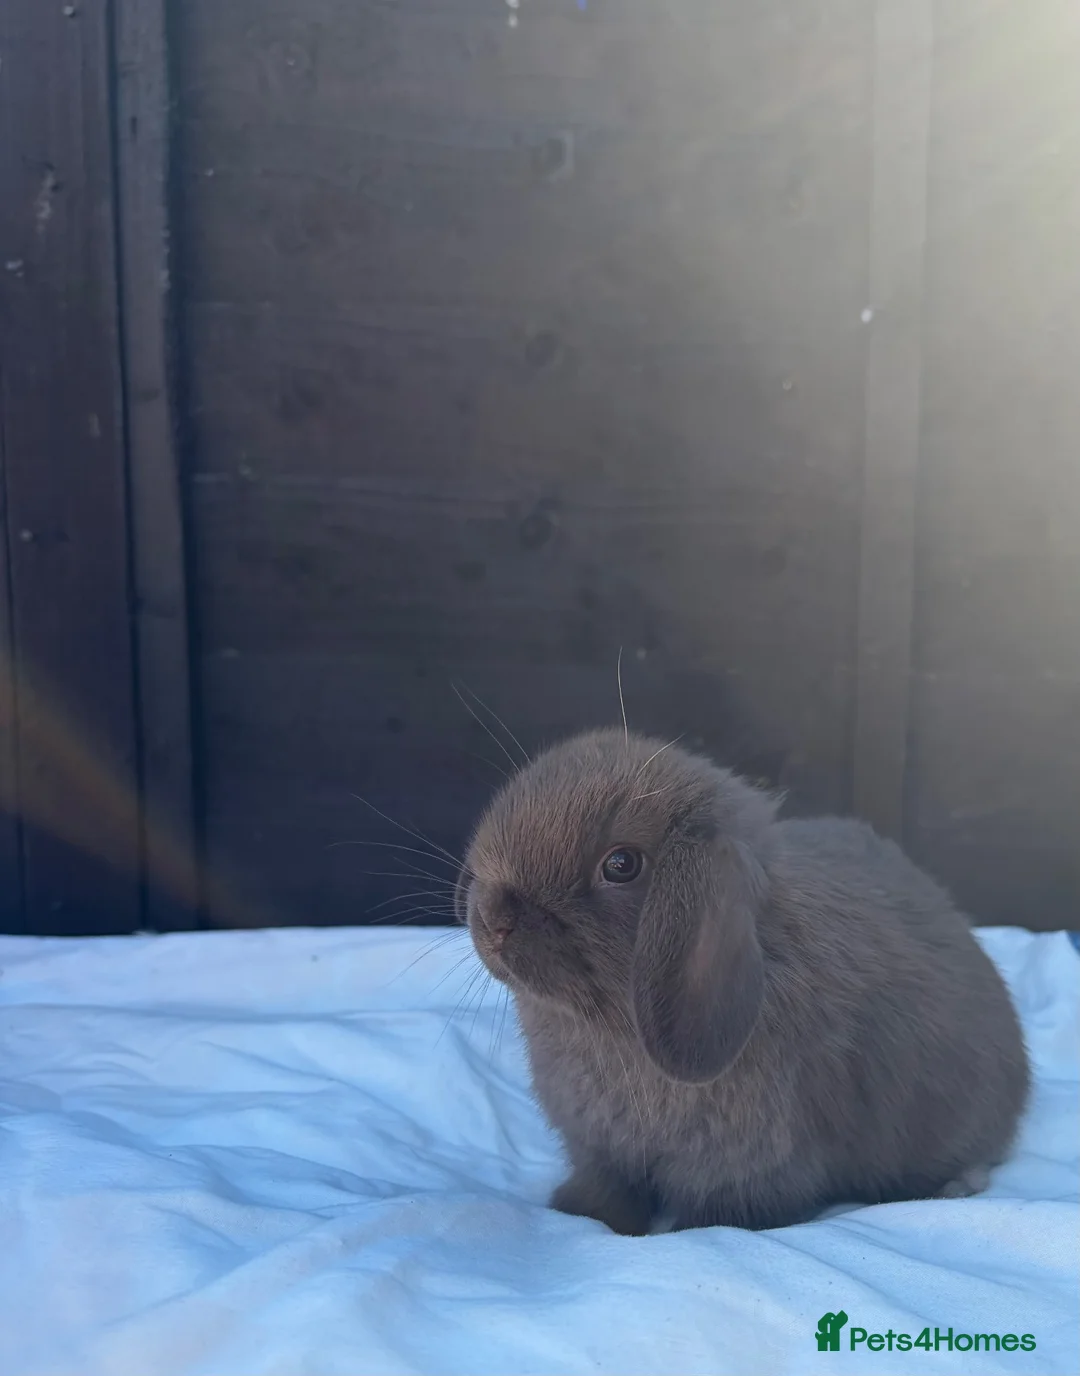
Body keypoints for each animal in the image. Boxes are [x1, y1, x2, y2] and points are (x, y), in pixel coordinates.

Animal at [457, 728, 1030, 1234]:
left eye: (621, 865)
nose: (494, 919)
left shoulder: (746, 1170)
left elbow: (718, 1218)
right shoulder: (602, 1151)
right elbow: (607, 1191)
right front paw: (577, 1214)